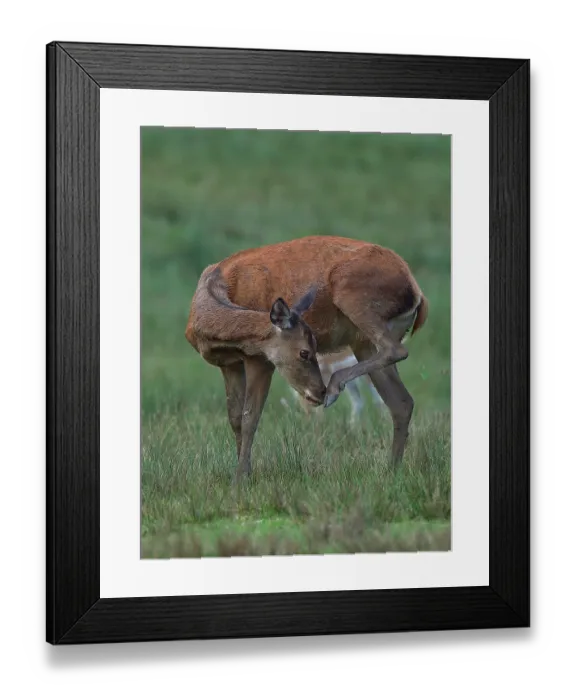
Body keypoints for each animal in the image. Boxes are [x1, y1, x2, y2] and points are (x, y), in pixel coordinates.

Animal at [185, 235, 428, 480]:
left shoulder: (260, 359)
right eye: (304, 352)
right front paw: (244, 472)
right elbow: (234, 418)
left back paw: (334, 389)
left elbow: (249, 417)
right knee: (401, 401)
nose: (319, 391)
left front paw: (241, 478)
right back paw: (391, 469)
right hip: (364, 340)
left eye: (314, 348)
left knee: (396, 352)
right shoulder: (230, 363)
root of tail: (417, 294)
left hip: (352, 294)